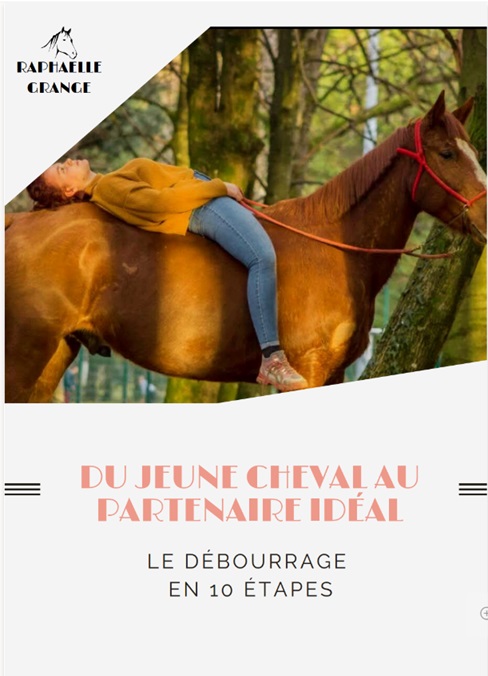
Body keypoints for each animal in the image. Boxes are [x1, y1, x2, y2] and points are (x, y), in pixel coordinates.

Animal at [5, 92, 487, 403]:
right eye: (446, 153)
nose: (485, 215)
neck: (337, 248)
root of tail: (16, 222)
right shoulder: (311, 374)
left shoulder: (333, 375)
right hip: (23, 358)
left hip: (53, 359)